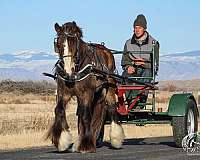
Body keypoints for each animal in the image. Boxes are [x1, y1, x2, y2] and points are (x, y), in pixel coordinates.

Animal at [47, 21, 125, 152]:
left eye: (74, 43)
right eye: (58, 43)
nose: (68, 70)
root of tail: (105, 50)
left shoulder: (87, 93)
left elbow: (86, 116)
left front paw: (86, 145)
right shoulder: (63, 93)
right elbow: (59, 110)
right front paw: (62, 141)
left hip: (108, 88)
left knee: (112, 108)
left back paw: (116, 139)